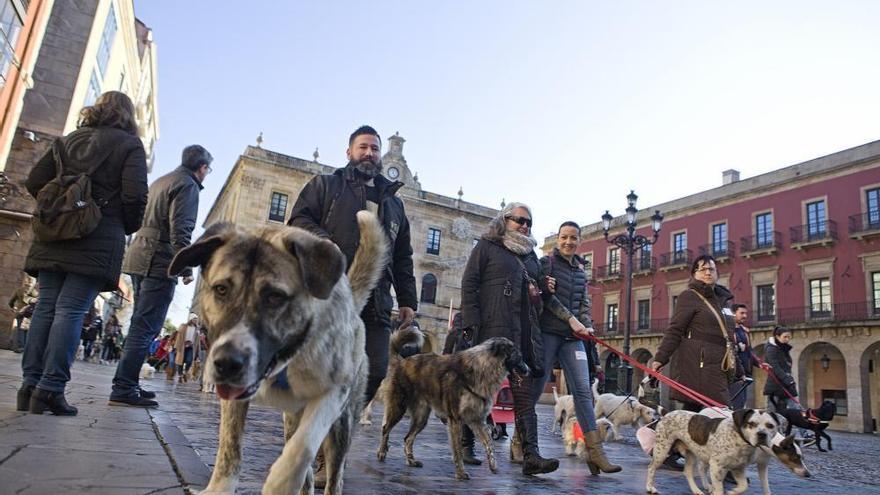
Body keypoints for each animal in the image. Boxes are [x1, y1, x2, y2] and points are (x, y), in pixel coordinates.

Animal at [172, 211, 388, 494]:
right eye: (221, 289)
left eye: (275, 296)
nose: (226, 364)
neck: (289, 360)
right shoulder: (235, 396)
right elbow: (229, 447)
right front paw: (219, 488)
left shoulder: (334, 392)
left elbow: (303, 446)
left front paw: (280, 482)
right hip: (291, 417)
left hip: (343, 423)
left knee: (334, 471)